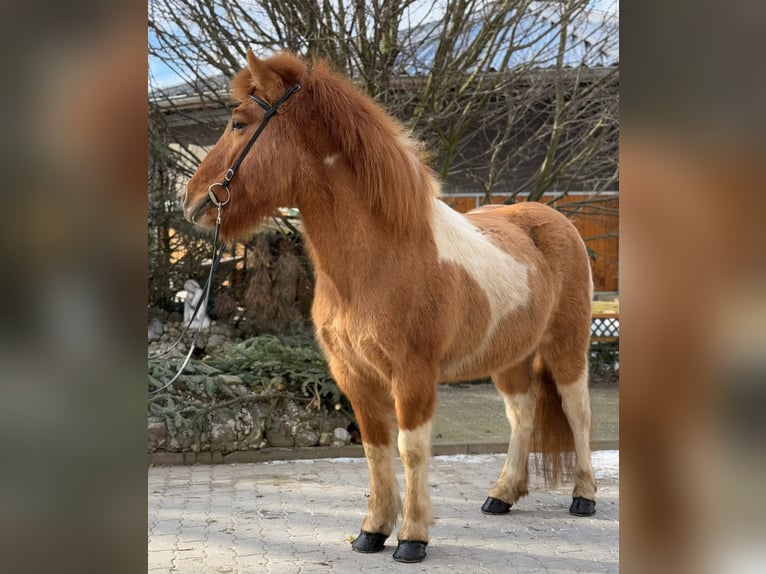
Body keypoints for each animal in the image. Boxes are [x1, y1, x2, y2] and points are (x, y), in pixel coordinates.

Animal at [183, 50, 596, 568]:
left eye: (239, 123)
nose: (191, 200)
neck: (380, 256)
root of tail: (556, 222)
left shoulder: (413, 374)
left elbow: (411, 449)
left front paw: (413, 538)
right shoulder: (354, 375)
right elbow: (376, 450)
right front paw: (372, 532)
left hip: (567, 347)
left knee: (577, 412)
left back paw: (584, 497)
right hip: (510, 358)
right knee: (523, 415)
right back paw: (501, 495)